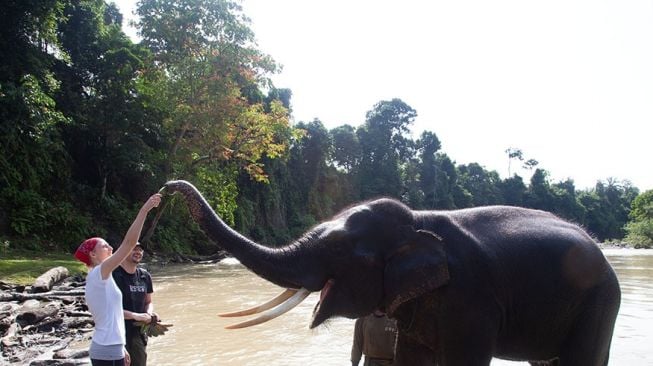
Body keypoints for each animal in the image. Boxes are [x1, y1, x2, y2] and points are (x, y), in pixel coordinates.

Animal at [162, 181, 616, 366]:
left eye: (338, 249)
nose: (165, 188)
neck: (418, 220)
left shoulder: (472, 300)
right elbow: (409, 358)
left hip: (599, 304)